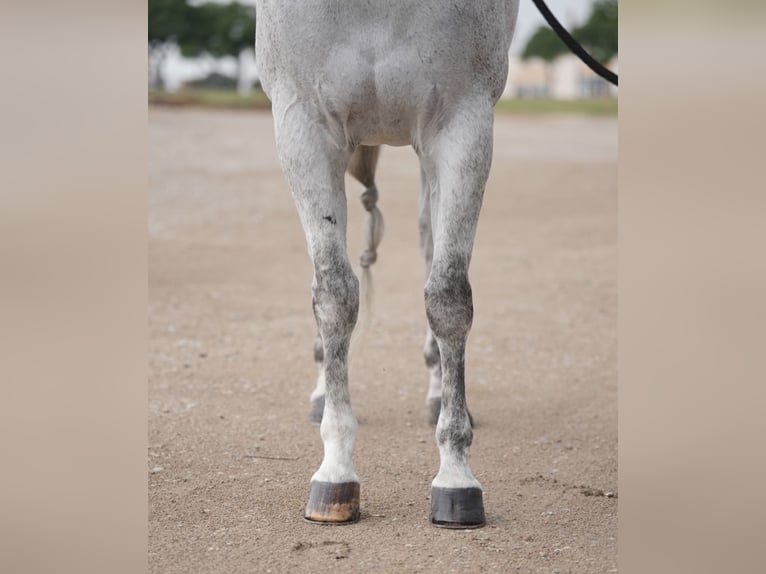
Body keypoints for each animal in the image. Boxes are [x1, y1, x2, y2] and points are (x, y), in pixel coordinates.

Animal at [255, 1, 520, 532]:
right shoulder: (303, 125)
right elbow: (334, 295)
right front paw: (335, 471)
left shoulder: (462, 124)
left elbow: (448, 297)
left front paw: (456, 476)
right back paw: (321, 388)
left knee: (428, 242)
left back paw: (438, 390)